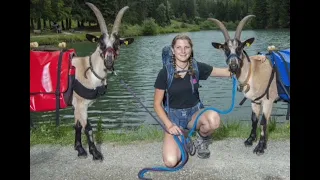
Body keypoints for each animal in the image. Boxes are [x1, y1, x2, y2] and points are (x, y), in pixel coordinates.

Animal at [70, 2, 134, 160]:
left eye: (118, 43)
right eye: (100, 42)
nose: (109, 62)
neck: (88, 69)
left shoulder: (77, 105)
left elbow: (78, 125)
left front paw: (80, 150)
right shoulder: (81, 104)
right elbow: (88, 128)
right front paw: (95, 153)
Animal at [209, 15, 288, 155]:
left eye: (240, 47)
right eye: (225, 49)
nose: (233, 65)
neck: (253, 71)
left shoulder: (268, 100)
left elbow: (263, 121)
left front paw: (260, 147)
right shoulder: (254, 101)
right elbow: (254, 119)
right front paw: (250, 140)